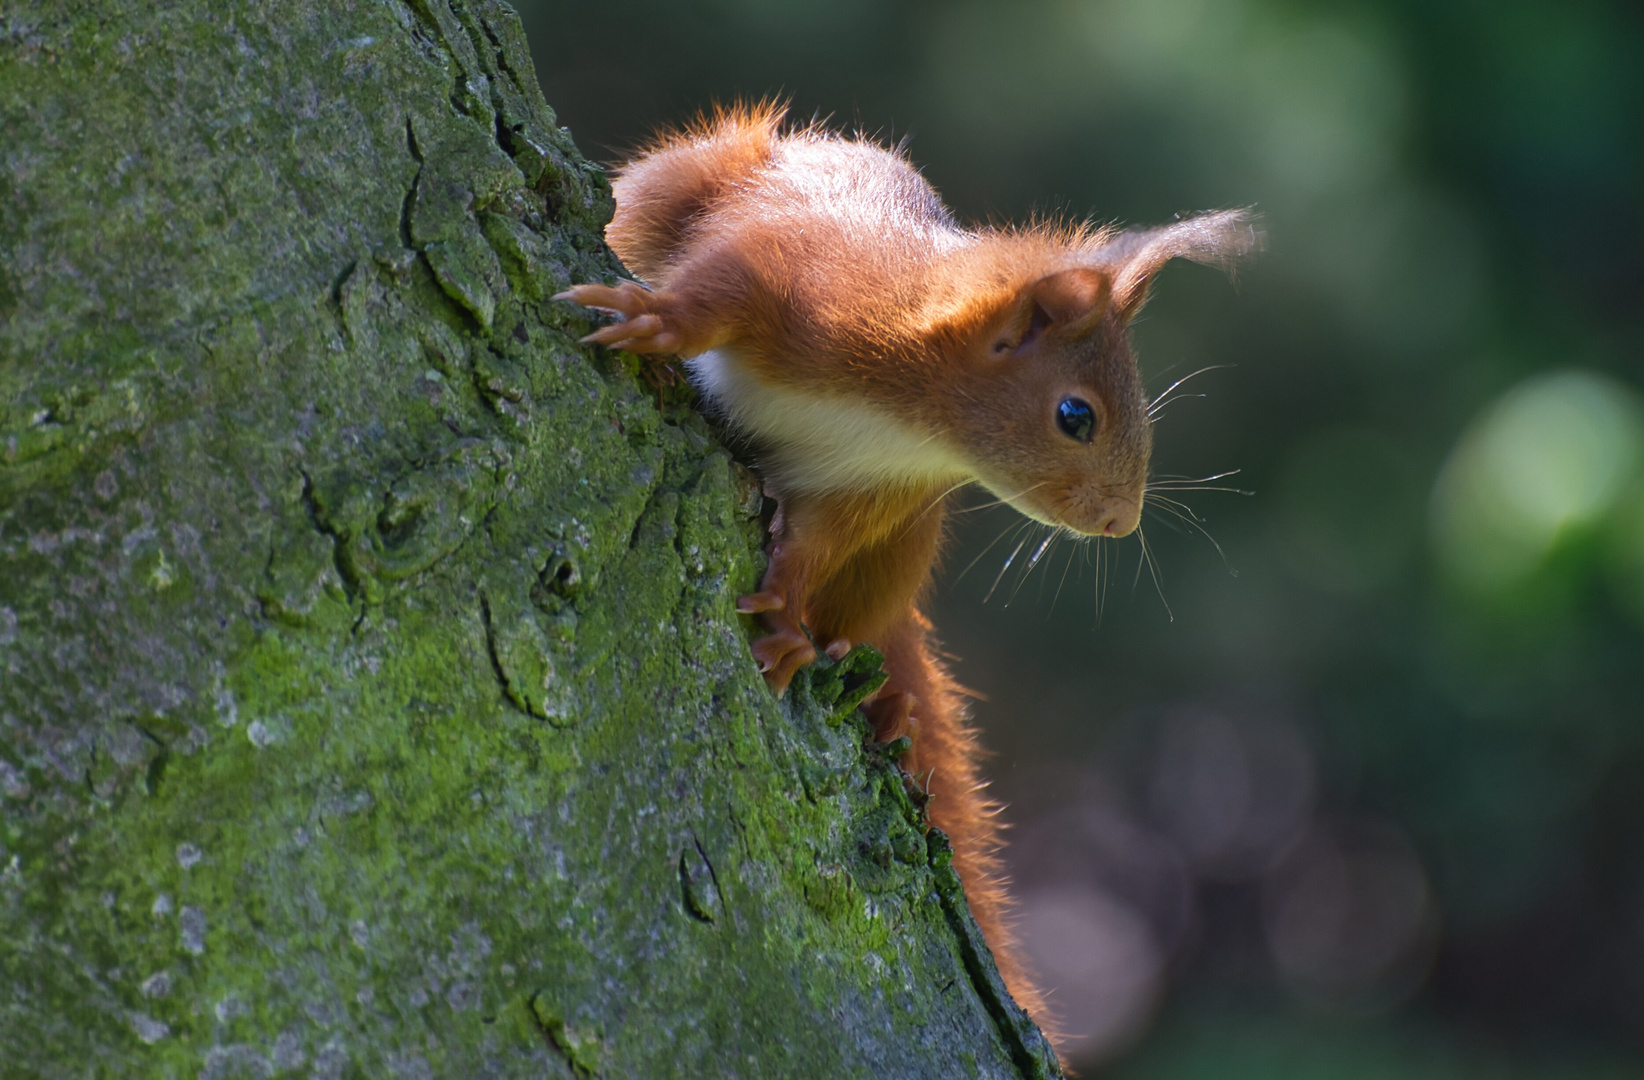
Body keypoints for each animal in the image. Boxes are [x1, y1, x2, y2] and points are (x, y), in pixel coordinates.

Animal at [552, 103, 1256, 1038]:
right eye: (1076, 415)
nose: (1120, 521)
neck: (910, 418)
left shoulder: (875, 488)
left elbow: (817, 543)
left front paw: (784, 614)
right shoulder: (803, 280)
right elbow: (720, 292)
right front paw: (661, 321)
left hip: (910, 540)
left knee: (865, 617)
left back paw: (873, 687)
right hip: (691, 174)